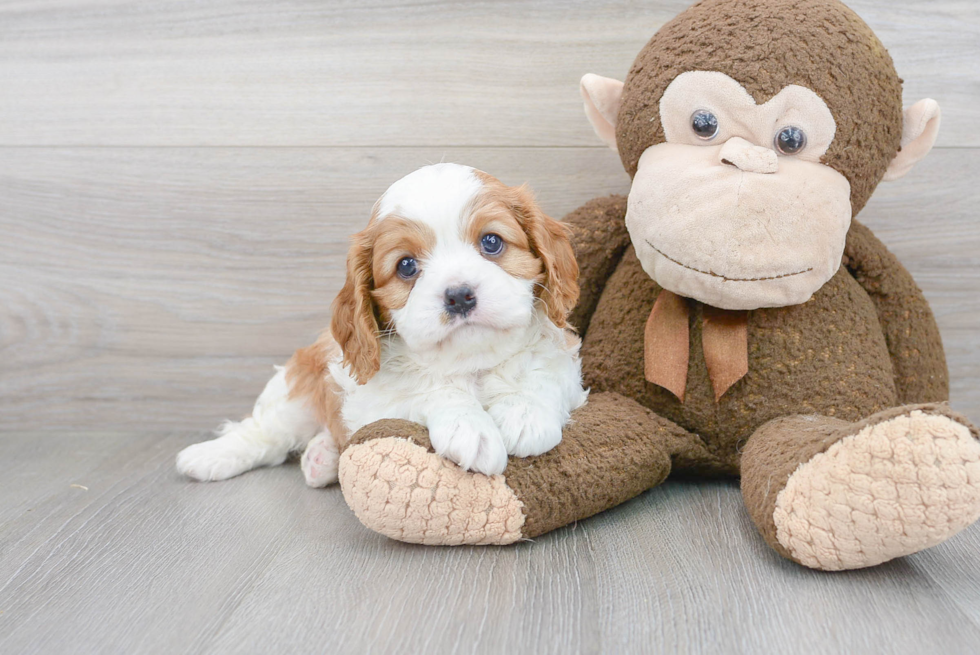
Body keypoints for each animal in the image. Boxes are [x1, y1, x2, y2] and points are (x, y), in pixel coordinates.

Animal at [176, 165, 588, 486]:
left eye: (491, 242)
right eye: (406, 266)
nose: (458, 295)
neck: (470, 364)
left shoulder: (565, 366)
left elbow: (542, 372)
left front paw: (525, 412)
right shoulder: (376, 401)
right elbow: (428, 391)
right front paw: (469, 427)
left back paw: (322, 457)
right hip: (296, 388)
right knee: (265, 432)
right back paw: (210, 456)